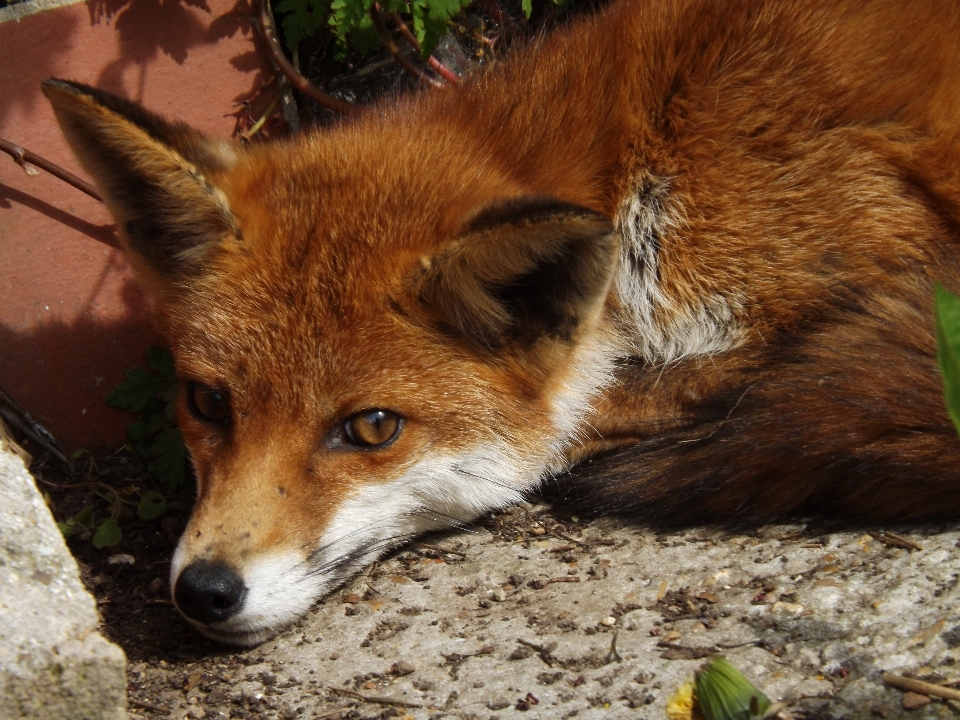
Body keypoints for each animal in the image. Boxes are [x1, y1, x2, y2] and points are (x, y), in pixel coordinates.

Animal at [45, 0, 960, 648]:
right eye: (208, 404)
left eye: (372, 428)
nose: (204, 590)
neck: (644, 155)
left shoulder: (878, 262)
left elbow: (592, 413)